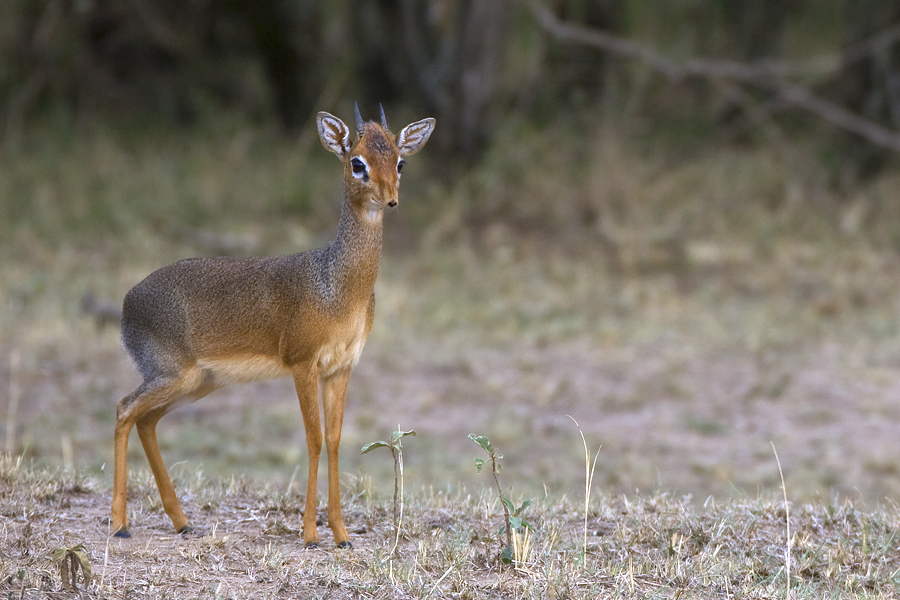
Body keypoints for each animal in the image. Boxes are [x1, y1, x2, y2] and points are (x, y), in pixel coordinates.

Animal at [112, 105, 436, 548]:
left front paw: (342, 534)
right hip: (170, 375)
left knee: (145, 420)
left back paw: (182, 522)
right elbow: (313, 439)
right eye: (358, 162)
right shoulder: (302, 364)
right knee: (124, 409)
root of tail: (127, 300)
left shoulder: (341, 368)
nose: (390, 200)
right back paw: (120, 525)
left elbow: (334, 440)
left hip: (195, 383)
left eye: (400, 161)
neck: (335, 285)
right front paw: (310, 533)